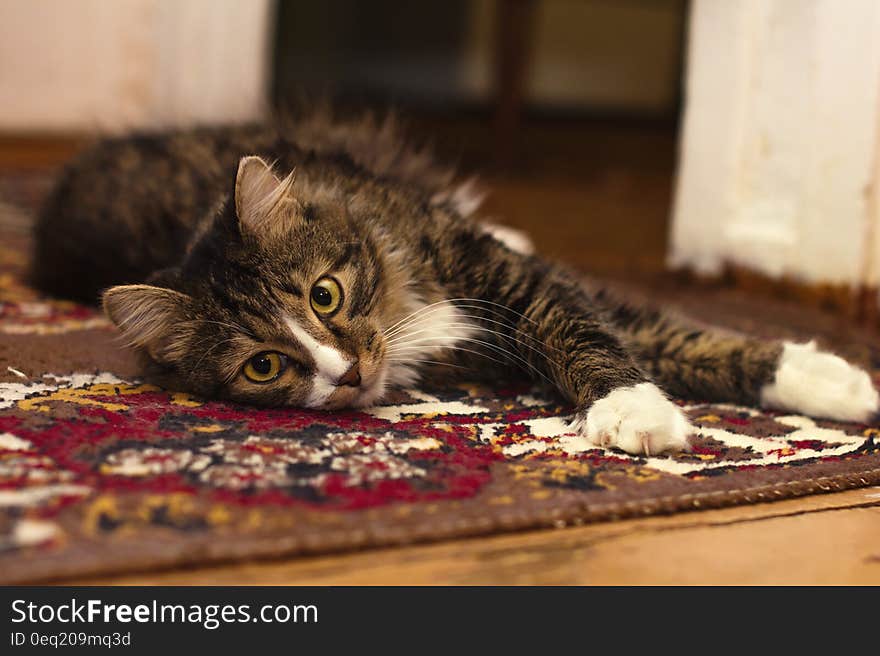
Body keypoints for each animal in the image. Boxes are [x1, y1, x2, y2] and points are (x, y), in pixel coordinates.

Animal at [29, 110, 880, 454]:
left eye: (324, 295)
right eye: (264, 366)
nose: (347, 374)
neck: (403, 306)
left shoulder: (516, 282)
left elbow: (638, 331)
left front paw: (834, 382)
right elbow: (647, 337)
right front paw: (640, 411)